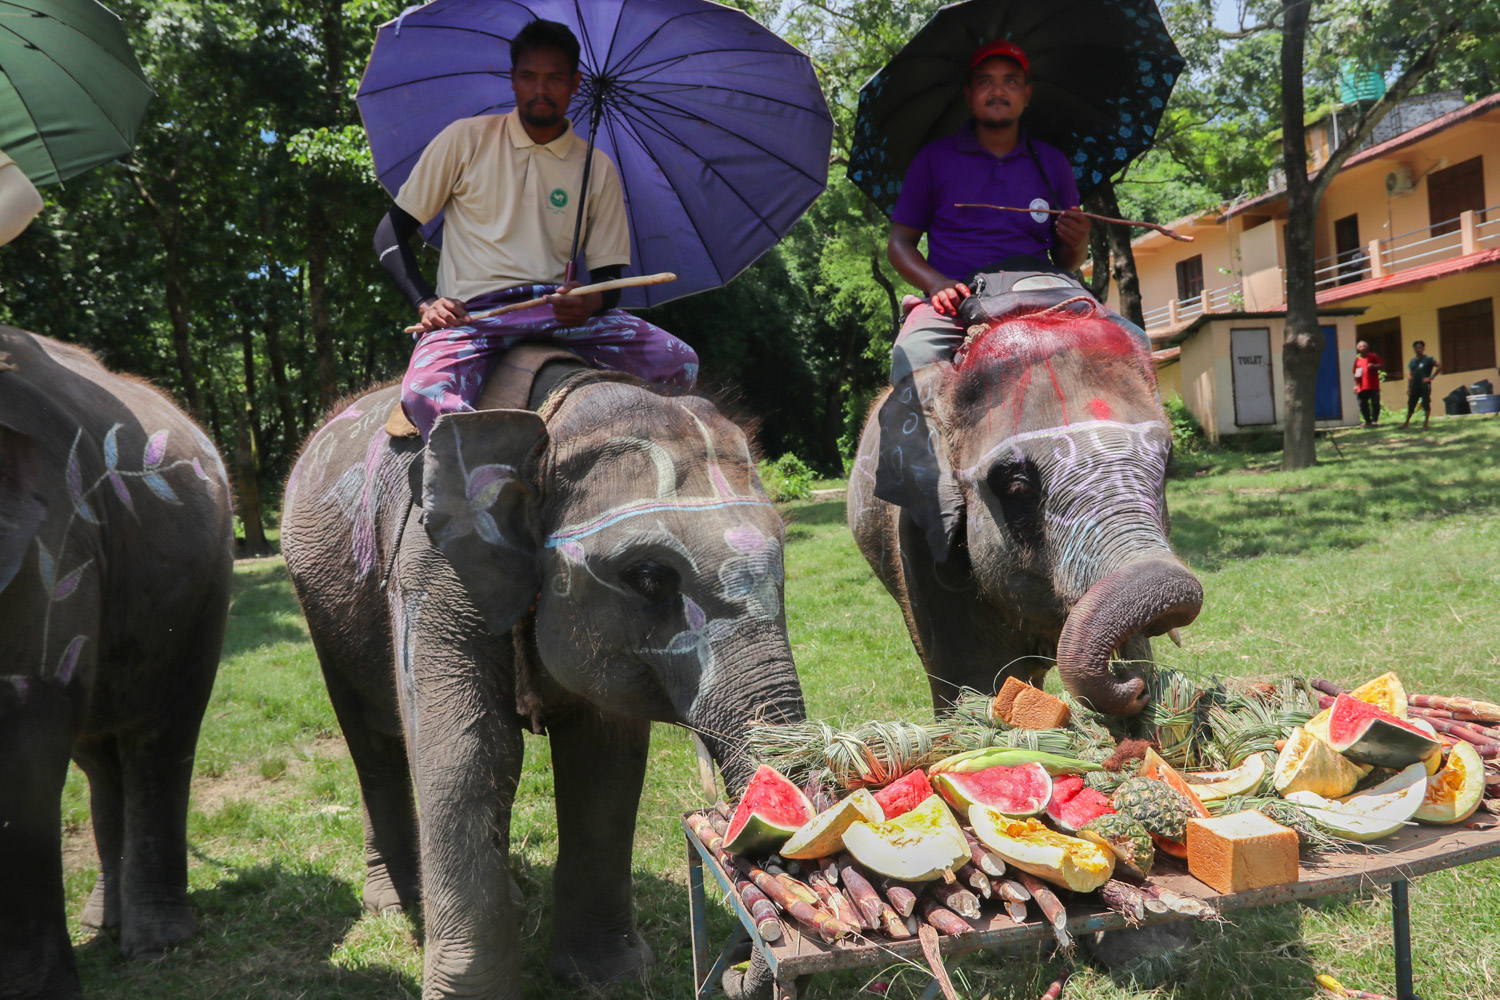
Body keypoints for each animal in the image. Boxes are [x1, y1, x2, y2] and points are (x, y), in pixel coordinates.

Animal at [0, 328, 234, 999]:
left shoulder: (49, 548)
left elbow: (22, 748)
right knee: (100, 759)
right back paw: (102, 924)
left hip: (207, 582)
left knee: (159, 740)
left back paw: (156, 942)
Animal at [280, 363, 806, 999]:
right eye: (650, 578)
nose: (746, 961)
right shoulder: (432, 574)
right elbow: (465, 755)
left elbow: (603, 762)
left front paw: (608, 975)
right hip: (322, 608)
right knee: (373, 745)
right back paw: (394, 902)